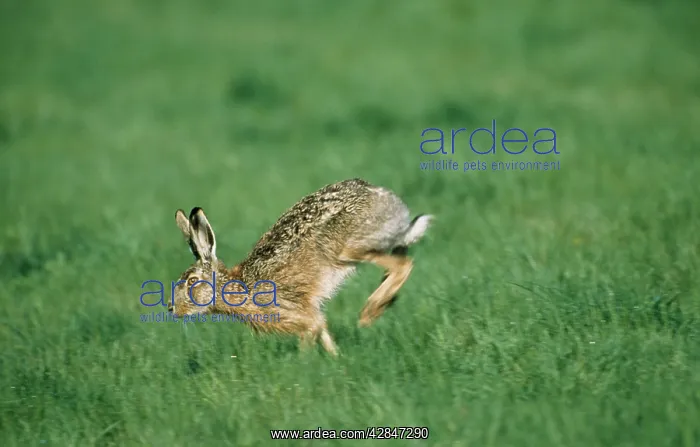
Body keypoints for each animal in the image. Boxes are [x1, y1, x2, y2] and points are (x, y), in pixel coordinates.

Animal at [170, 178, 432, 356]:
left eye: (192, 281)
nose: (172, 308)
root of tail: (393, 205)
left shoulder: (294, 313)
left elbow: (310, 332)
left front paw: (305, 366)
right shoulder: (313, 313)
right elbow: (323, 330)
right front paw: (337, 360)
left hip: (344, 248)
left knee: (403, 264)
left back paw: (370, 312)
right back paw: (385, 302)